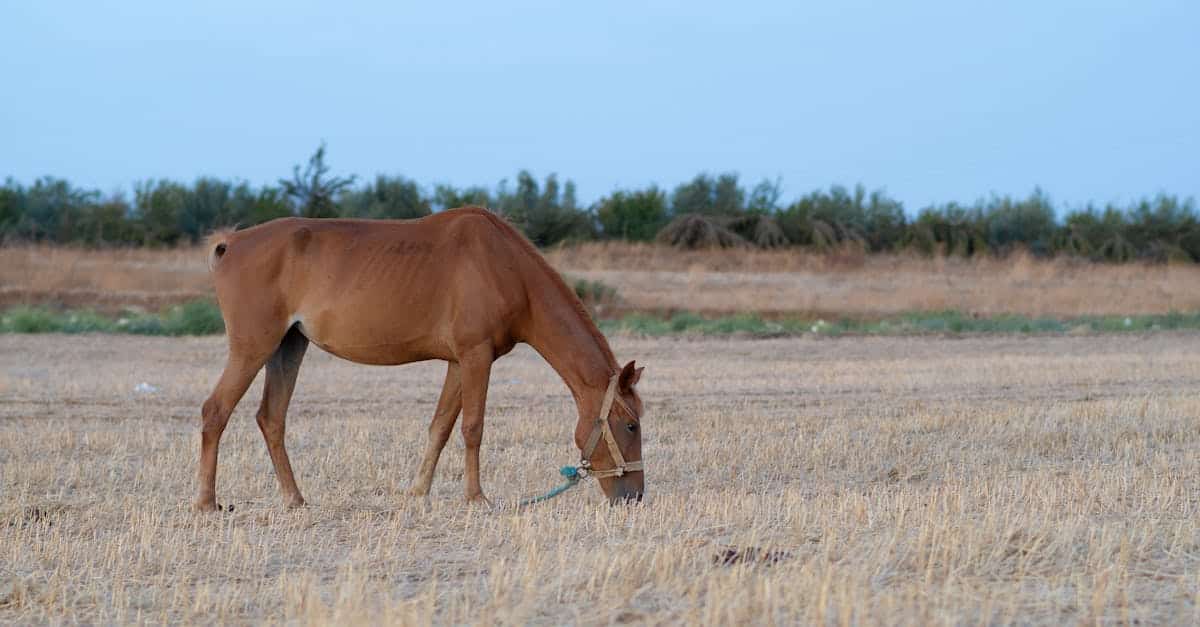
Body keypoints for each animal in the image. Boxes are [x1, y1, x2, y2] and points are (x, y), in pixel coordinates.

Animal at [194, 205, 648, 506]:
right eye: (630, 425)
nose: (634, 496)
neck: (506, 268)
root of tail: (231, 243)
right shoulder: (476, 356)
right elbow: (473, 427)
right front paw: (476, 498)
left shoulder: (458, 362)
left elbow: (441, 427)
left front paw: (417, 491)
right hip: (253, 348)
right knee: (215, 411)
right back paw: (206, 502)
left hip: (288, 346)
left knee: (271, 418)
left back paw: (295, 499)